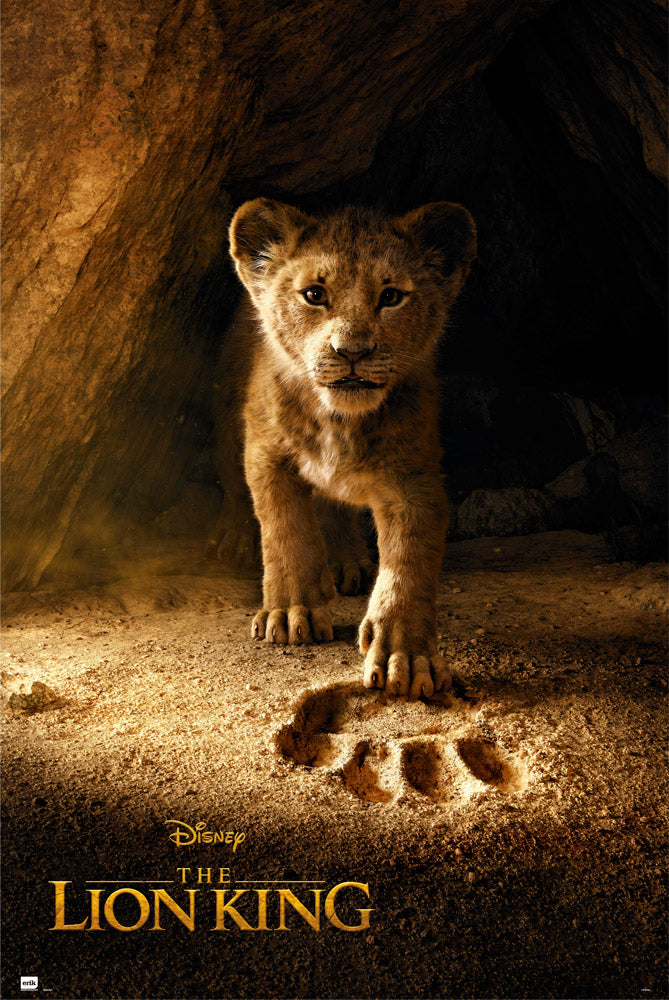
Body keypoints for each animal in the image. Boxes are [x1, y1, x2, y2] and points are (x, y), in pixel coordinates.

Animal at [209, 198, 476, 698]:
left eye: (391, 297)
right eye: (314, 294)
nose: (352, 351)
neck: (340, 420)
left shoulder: (414, 478)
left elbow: (408, 562)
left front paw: (405, 656)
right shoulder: (266, 454)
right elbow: (285, 531)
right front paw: (290, 613)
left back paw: (345, 561)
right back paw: (233, 537)